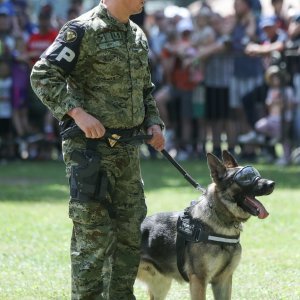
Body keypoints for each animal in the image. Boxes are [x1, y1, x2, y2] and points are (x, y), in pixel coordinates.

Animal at [137, 151, 276, 300]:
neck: (221, 221)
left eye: (256, 173)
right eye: (245, 178)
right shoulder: (199, 279)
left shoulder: (224, 280)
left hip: (161, 287)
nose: (272, 184)